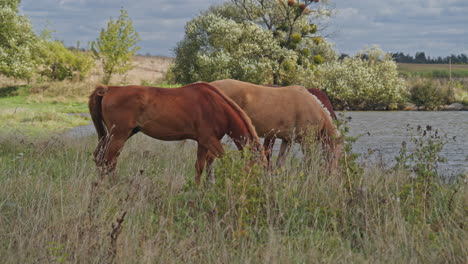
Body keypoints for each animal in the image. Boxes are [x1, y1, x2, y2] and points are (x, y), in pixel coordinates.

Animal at [87, 81, 264, 185]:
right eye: (257, 169)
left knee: (101, 158)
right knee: (107, 160)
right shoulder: (209, 140)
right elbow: (222, 161)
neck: (216, 106)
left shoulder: (203, 143)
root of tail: (109, 89)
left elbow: (201, 166)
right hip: (119, 136)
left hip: (117, 135)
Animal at [210, 79, 342, 169]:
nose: (333, 175)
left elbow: (280, 163)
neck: (315, 109)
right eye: (335, 156)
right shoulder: (306, 142)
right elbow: (308, 165)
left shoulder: (287, 140)